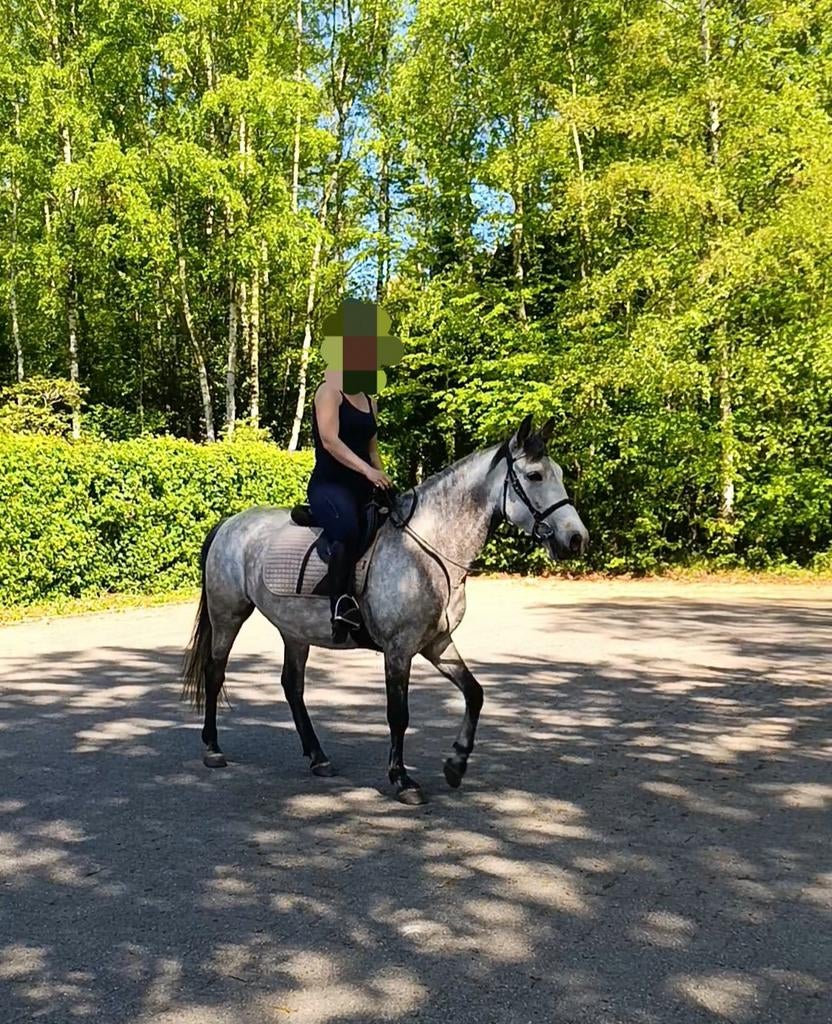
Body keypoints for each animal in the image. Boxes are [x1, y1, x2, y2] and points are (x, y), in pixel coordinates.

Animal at [181, 414, 589, 804]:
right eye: (534, 475)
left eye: (559, 473)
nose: (576, 539)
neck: (429, 548)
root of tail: (230, 523)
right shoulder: (398, 649)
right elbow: (398, 714)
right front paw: (402, 780)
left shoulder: (437, 643)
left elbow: (475, 693)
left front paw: (456, 764)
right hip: (228, 615)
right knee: (215, 673)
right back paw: (212, 748)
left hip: (294, 630)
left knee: (292, 686)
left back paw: (318, 757)